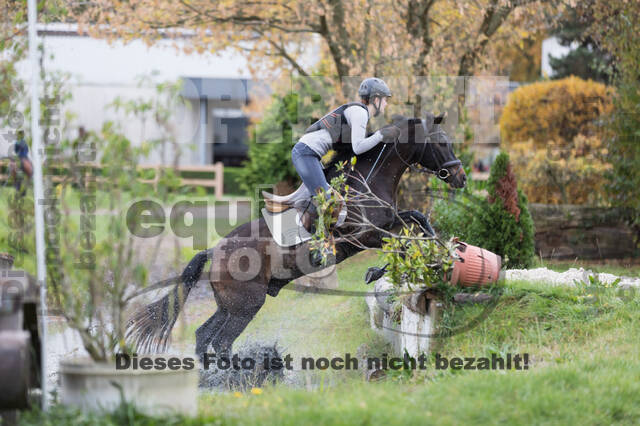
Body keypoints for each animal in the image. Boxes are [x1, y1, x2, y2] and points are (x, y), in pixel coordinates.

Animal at [126, 111, 464, 358]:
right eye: (441, 143)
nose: (460, 177)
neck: (367, 181)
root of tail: (213, 252)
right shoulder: (364, 235)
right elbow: (405, 240)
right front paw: (382, 269)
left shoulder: (389, 221)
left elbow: (417, 220)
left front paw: (445, 252)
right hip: (246, 305)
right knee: (221, 341)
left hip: (228, 305)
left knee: (204, 335)